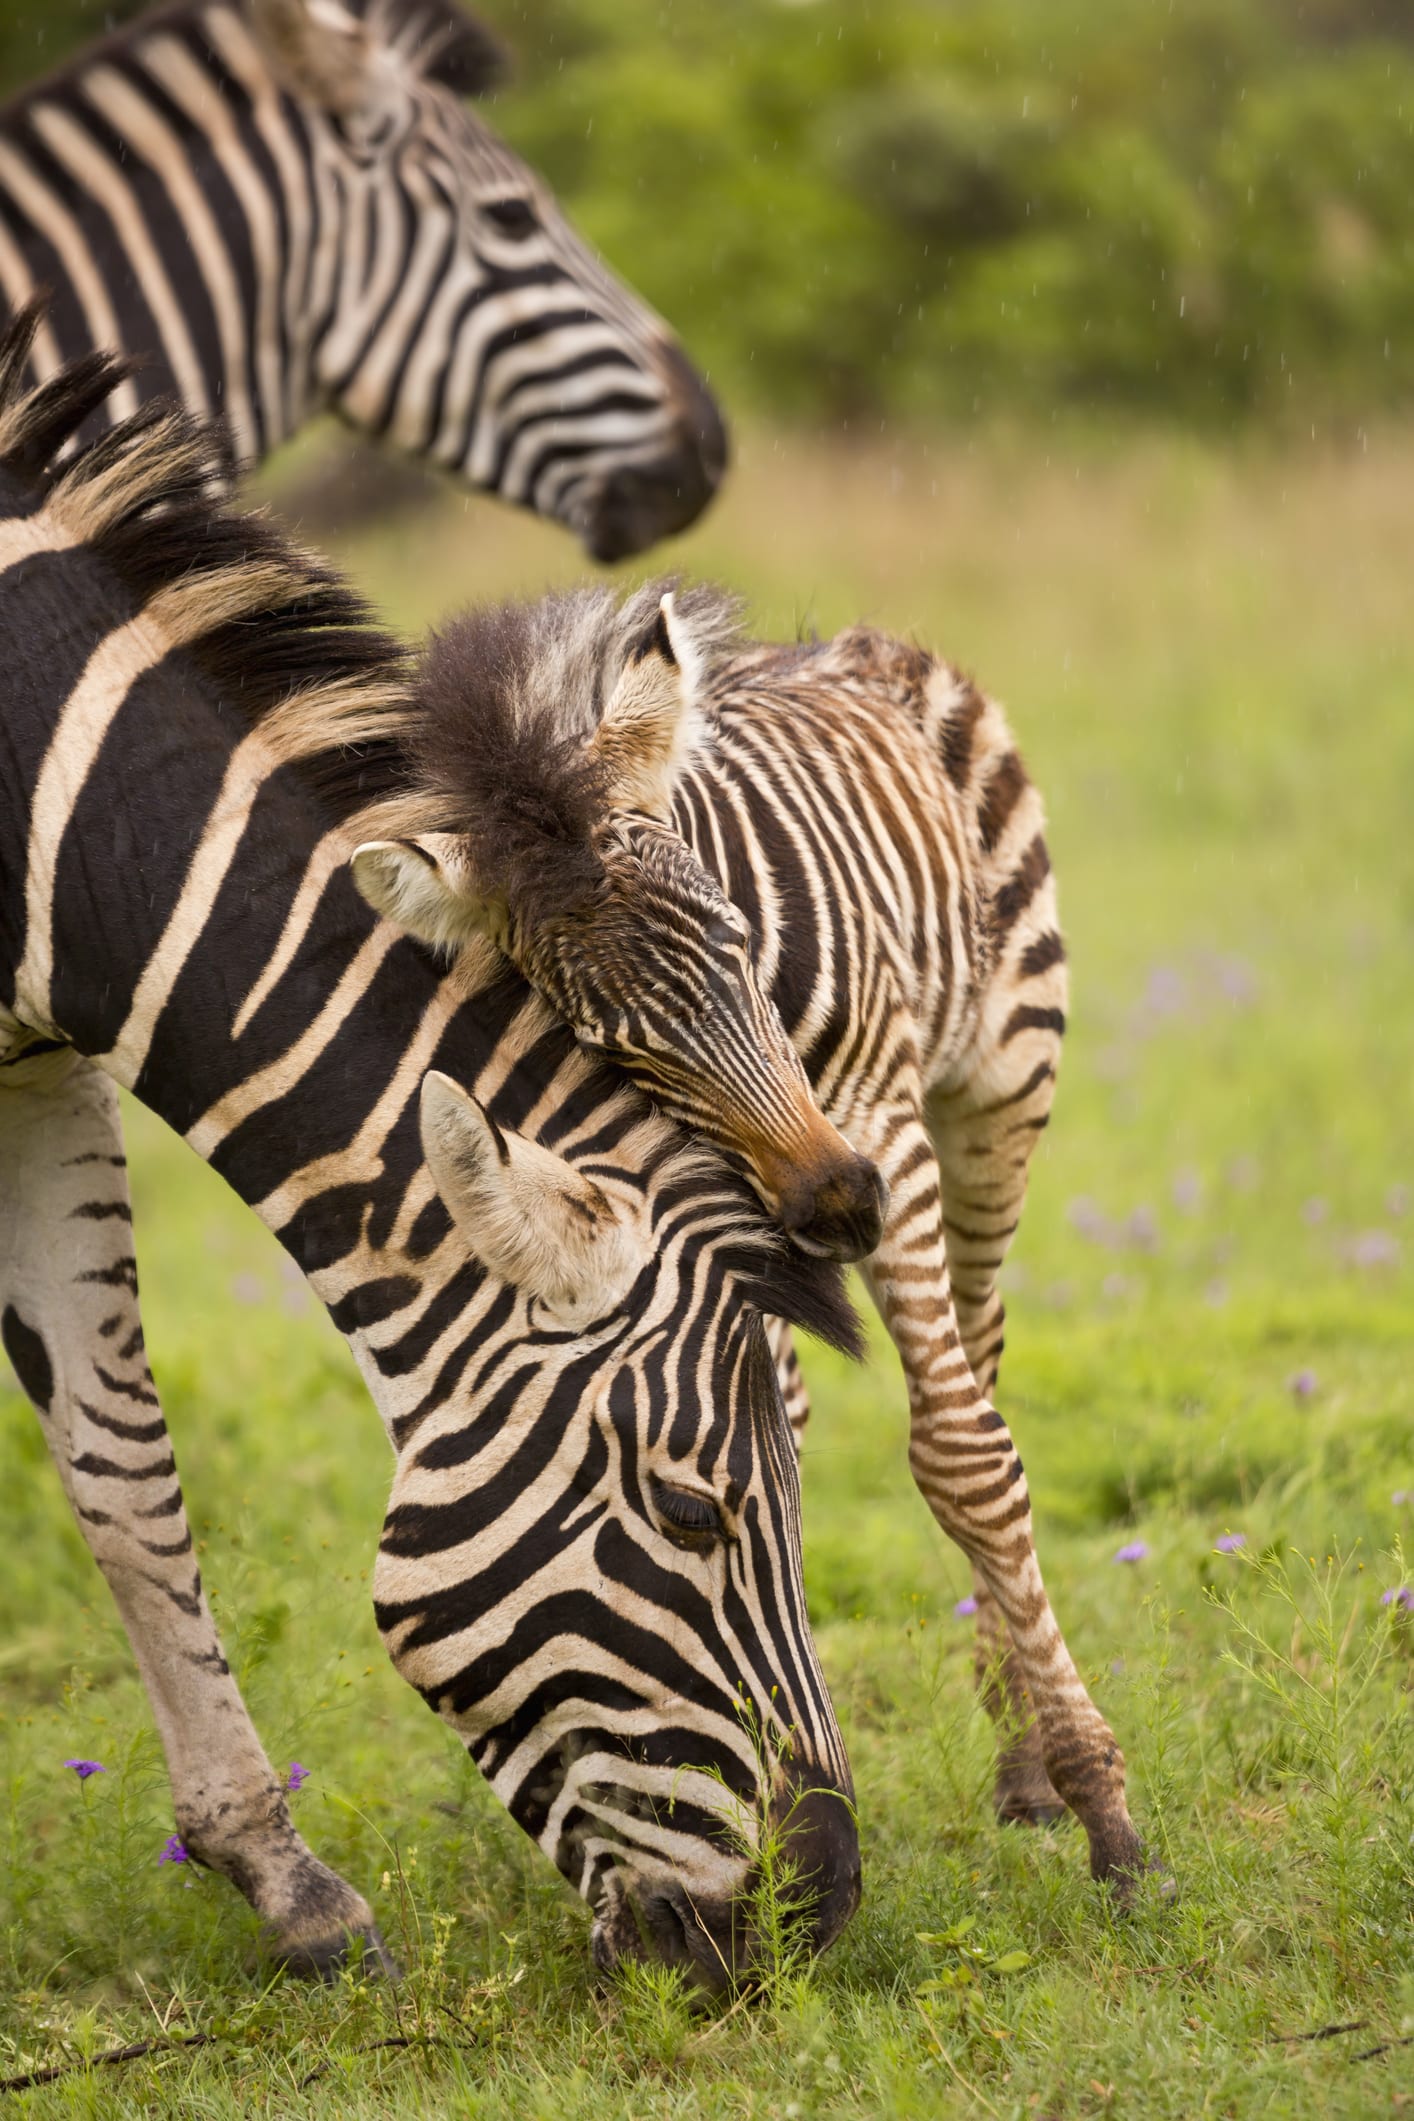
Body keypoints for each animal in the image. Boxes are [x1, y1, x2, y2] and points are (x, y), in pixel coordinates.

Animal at [351, 581, 1153, 1891]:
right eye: (605, 1041)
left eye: (732, 937)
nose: (833, 1206)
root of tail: (835, 645)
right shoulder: (728, 1177)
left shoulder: (881, 1124)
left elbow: (964, 1459)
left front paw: (1099, 1806)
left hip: (997, 1096)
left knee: (978, 1365)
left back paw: (1021, 1752)